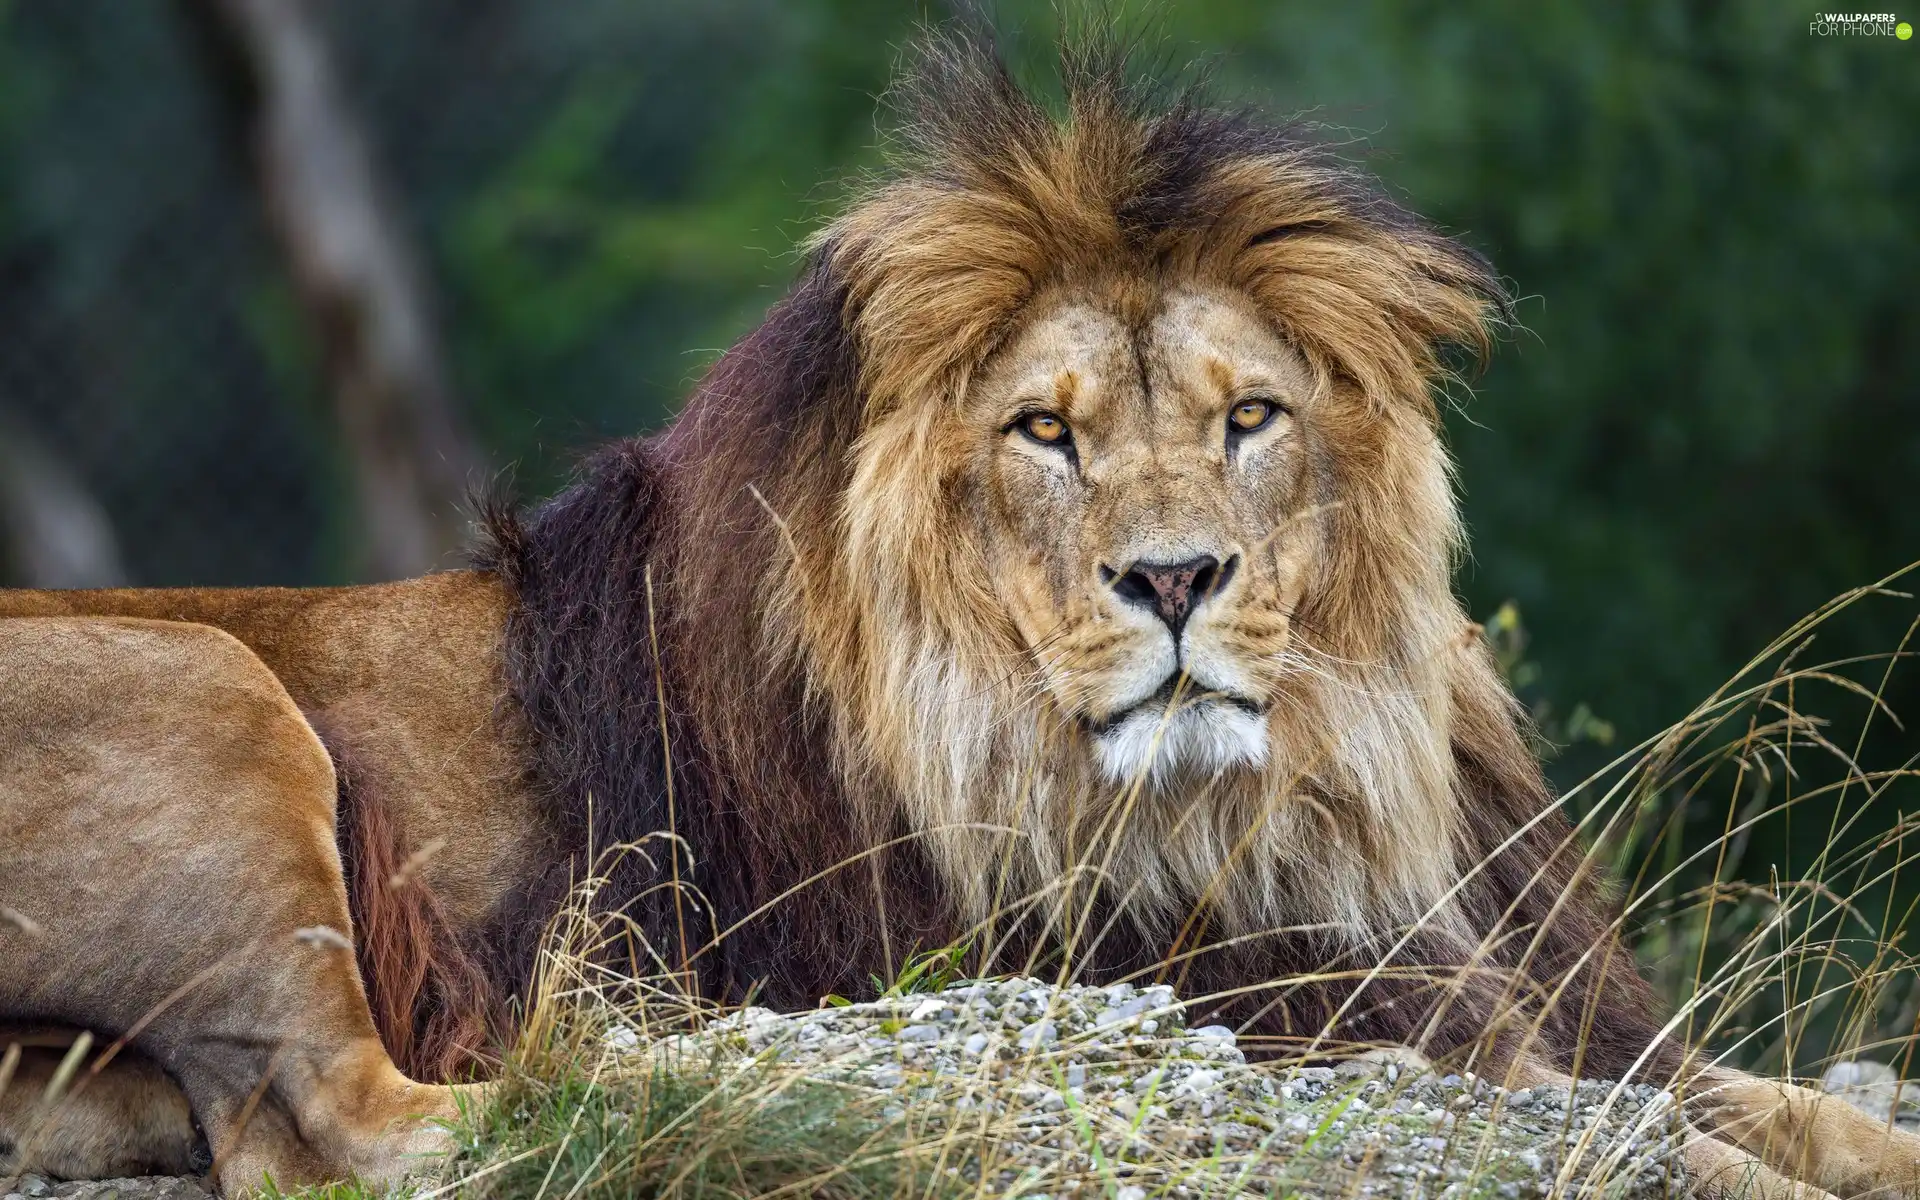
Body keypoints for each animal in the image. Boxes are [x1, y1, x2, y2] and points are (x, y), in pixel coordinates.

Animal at [3, 25, 1920, 1198]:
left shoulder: (1528, 1007)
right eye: (1044, 433)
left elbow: (1774, 1108)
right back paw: (772, 1076)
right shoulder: (1303, 1008)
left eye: (1250, 417)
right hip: (205, 681)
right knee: (348, 1126)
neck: (1265, 809)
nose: (1175, 580)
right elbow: (1676, 1156)